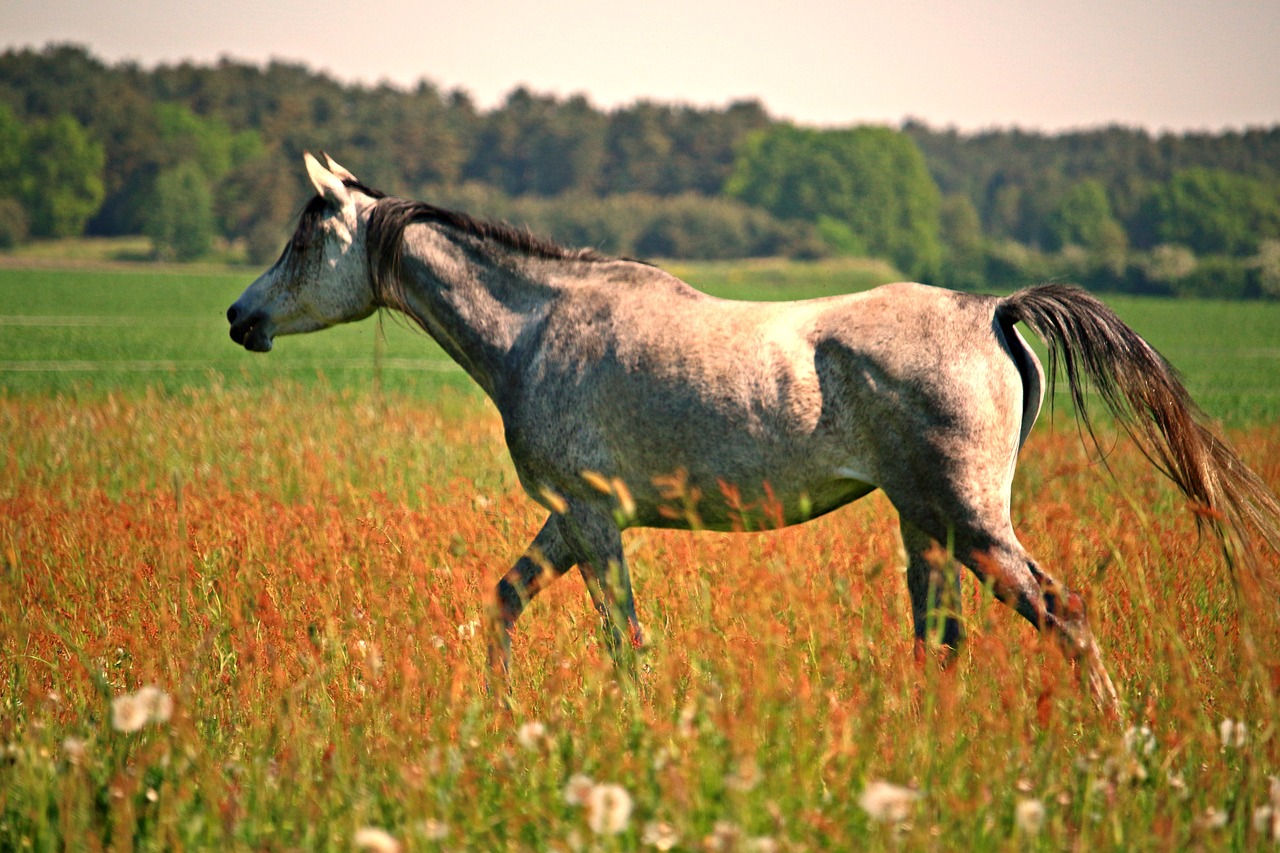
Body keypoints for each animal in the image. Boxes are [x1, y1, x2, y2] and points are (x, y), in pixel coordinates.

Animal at [230, 151, 1280, 701]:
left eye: (302, 237)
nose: (242, 317)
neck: (537, 328)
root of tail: (994, 310)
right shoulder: (568, 521)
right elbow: (504, 601)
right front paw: (496, 710)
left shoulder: (594, 520)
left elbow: (624, 640)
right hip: (926, 525)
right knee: (941, 638)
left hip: (974, 522)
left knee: (1062, 614)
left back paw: (1118, 741)